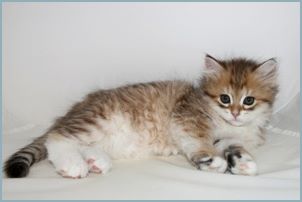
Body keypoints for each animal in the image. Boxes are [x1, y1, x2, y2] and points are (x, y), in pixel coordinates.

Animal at [4, 54, 278, 178]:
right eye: (225, 98)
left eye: (248, 101)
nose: (235, 114)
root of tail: (73, 111)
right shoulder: (186, 118)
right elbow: (199, 143)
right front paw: (211, 160)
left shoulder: (230, 137)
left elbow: (234, 147)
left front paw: (242, 162)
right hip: (98, 119)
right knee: (58, 138)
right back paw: (73, 164)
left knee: (78, 143)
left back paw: (95, 161)